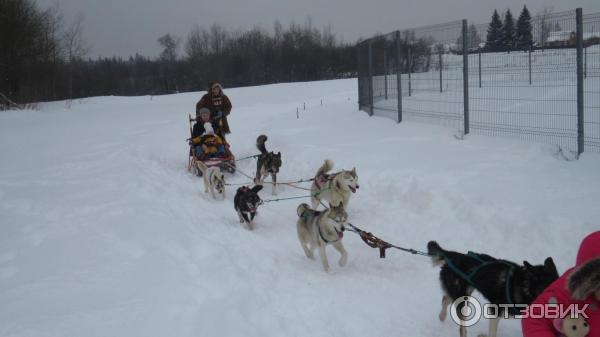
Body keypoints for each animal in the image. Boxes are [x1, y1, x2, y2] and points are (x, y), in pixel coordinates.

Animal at [426, 240, 556, 337]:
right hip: (462, 298)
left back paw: (442, 316)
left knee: (445, 299)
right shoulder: (495, 310)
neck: (522, 285)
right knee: (462, 327)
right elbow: (492, 333)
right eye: (547, 289)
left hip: (464, 292)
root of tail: (453, 255)